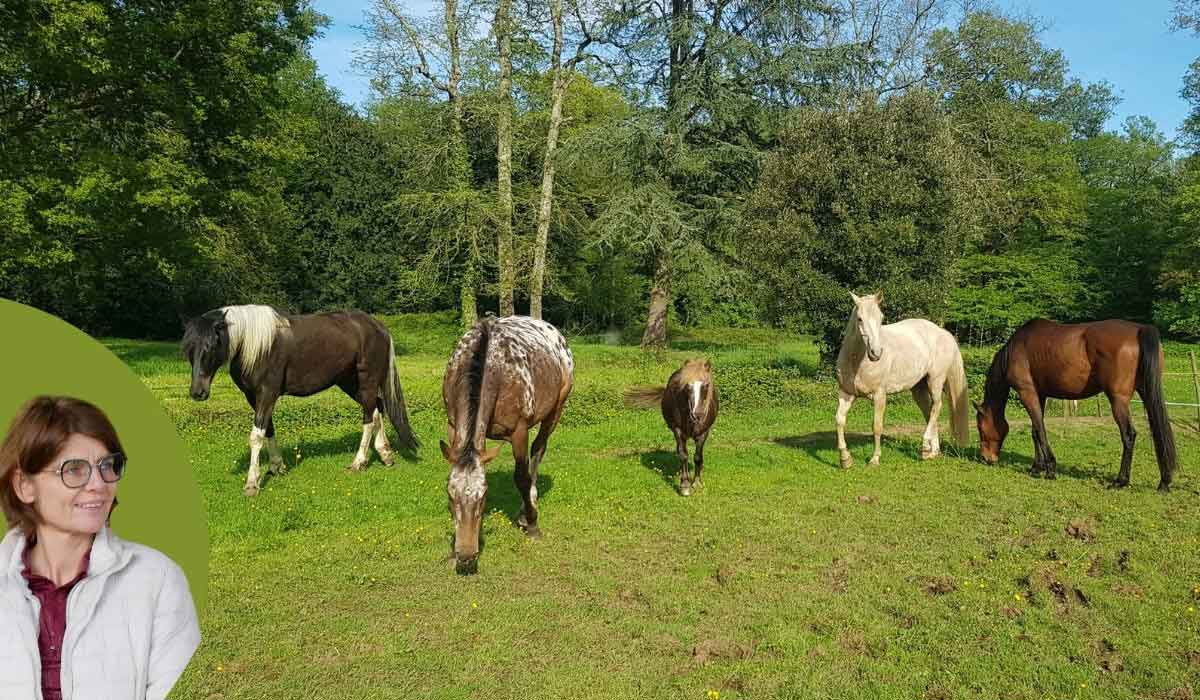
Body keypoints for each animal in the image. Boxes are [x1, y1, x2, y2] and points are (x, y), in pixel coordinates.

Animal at [180, 307, 420, 499]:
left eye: (212, 346)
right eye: (189, 349)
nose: (198, 392)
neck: (257, 345)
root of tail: (378, 327)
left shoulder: (267, 394)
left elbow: (256, 437)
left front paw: (252, 483)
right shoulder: (254, 398)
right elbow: (268, 430)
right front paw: (276, 467)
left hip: (367, 380)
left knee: (369, 418)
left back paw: (358, 462)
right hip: (350, 383)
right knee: (378, 409)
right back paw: (385, 454)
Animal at [439, 316, 573, 576]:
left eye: (483, 497)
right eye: (450, 496)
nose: (466, 558)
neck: (493, 367)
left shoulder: (519, 431)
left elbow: (521, 477)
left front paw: (532, 524)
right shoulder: (453, 426)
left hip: (555, 410)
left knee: (538, 451)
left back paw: (527, 508)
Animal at [624, 357, 715, 494]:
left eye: (706, 385)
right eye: (687, 386)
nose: (698, 414)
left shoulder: (704, 432)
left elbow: (698, 457)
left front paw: (697, 482)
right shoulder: (678, 430)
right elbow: (683, 455)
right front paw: (685, 485)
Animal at [840, 292, 969, 468]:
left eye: (881, 317)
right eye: (860, 318)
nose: (876, 353)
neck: (856, 361)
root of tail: (943, 333)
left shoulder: (879, 396)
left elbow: (877, 426)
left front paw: (875, 459)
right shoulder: (845, 394)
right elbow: (839, 421)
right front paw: (845, 459)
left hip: (935, 380)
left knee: (937, 406)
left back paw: (925, 448)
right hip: (919, 389)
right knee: (930, 412)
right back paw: (933, 452)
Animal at [969, 319, 1176, 492]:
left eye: (980, 427)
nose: (986, 458)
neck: (1016, 348)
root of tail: (1139, 329)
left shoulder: (1027, 392)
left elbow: (1040, 431)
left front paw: (1050, 469)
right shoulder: (1039, 395)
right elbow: (1035, 431)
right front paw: (1036, 467)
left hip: (1119, 400)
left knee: (1129, 435)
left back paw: (1120, 481)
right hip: (1147, 393)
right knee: (1158, 431)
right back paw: (1164, 481)